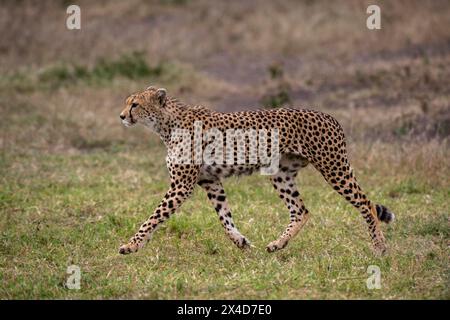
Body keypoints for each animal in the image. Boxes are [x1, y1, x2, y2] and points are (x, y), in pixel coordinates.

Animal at [117, 86, 394, 256]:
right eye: (127, 103)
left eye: (135, 105)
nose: (121, 116)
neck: (166, 124)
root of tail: (329, 116)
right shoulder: (210, 181)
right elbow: (224, 217)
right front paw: (240, 241)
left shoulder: (181, 186)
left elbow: (153, 217)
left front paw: (132, 245)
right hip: (281, 174)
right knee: (300, 210)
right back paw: (277, 244)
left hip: (334, 167)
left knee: (365, 203)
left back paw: (380, 247)